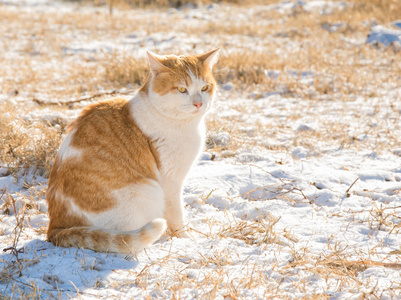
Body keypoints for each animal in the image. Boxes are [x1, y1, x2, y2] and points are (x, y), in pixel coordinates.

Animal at [46, 48, 220, 254]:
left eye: (204, 88)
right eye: (181, 89)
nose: (198, 104)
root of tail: (55, 228)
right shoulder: (170, 180)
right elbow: (176, 214)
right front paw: (185, 239)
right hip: (146, 190)